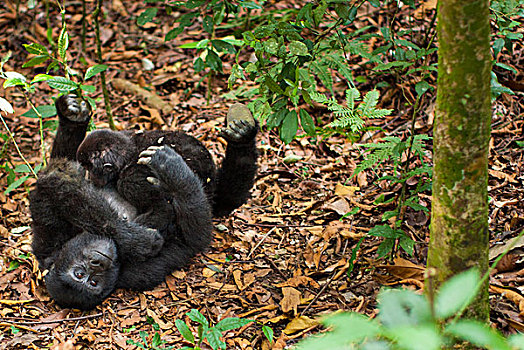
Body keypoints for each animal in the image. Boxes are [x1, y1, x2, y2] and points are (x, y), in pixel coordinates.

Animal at [30, 95, 258, 308]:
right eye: (84, 277)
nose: (97, 264)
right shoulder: (139, 272)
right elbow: (194, 239)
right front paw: (138, 241)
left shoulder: (128, 177)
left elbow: (53, 178)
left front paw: (71, 117)